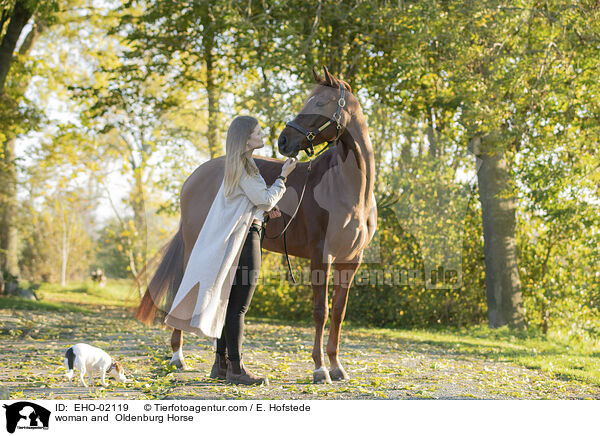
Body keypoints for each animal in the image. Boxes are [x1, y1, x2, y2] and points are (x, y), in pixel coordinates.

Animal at [138, 66, 378, 384]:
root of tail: (193, 178)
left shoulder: (350, 259)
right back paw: (178, 357)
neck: (348, 188)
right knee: (184, 290)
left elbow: (338, 312)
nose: (284, 141)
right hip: (196, 247)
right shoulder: (321, 255)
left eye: (319, 103)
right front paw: (319, 369)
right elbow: (321, 312)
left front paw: (337, 366)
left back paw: (217, 367)